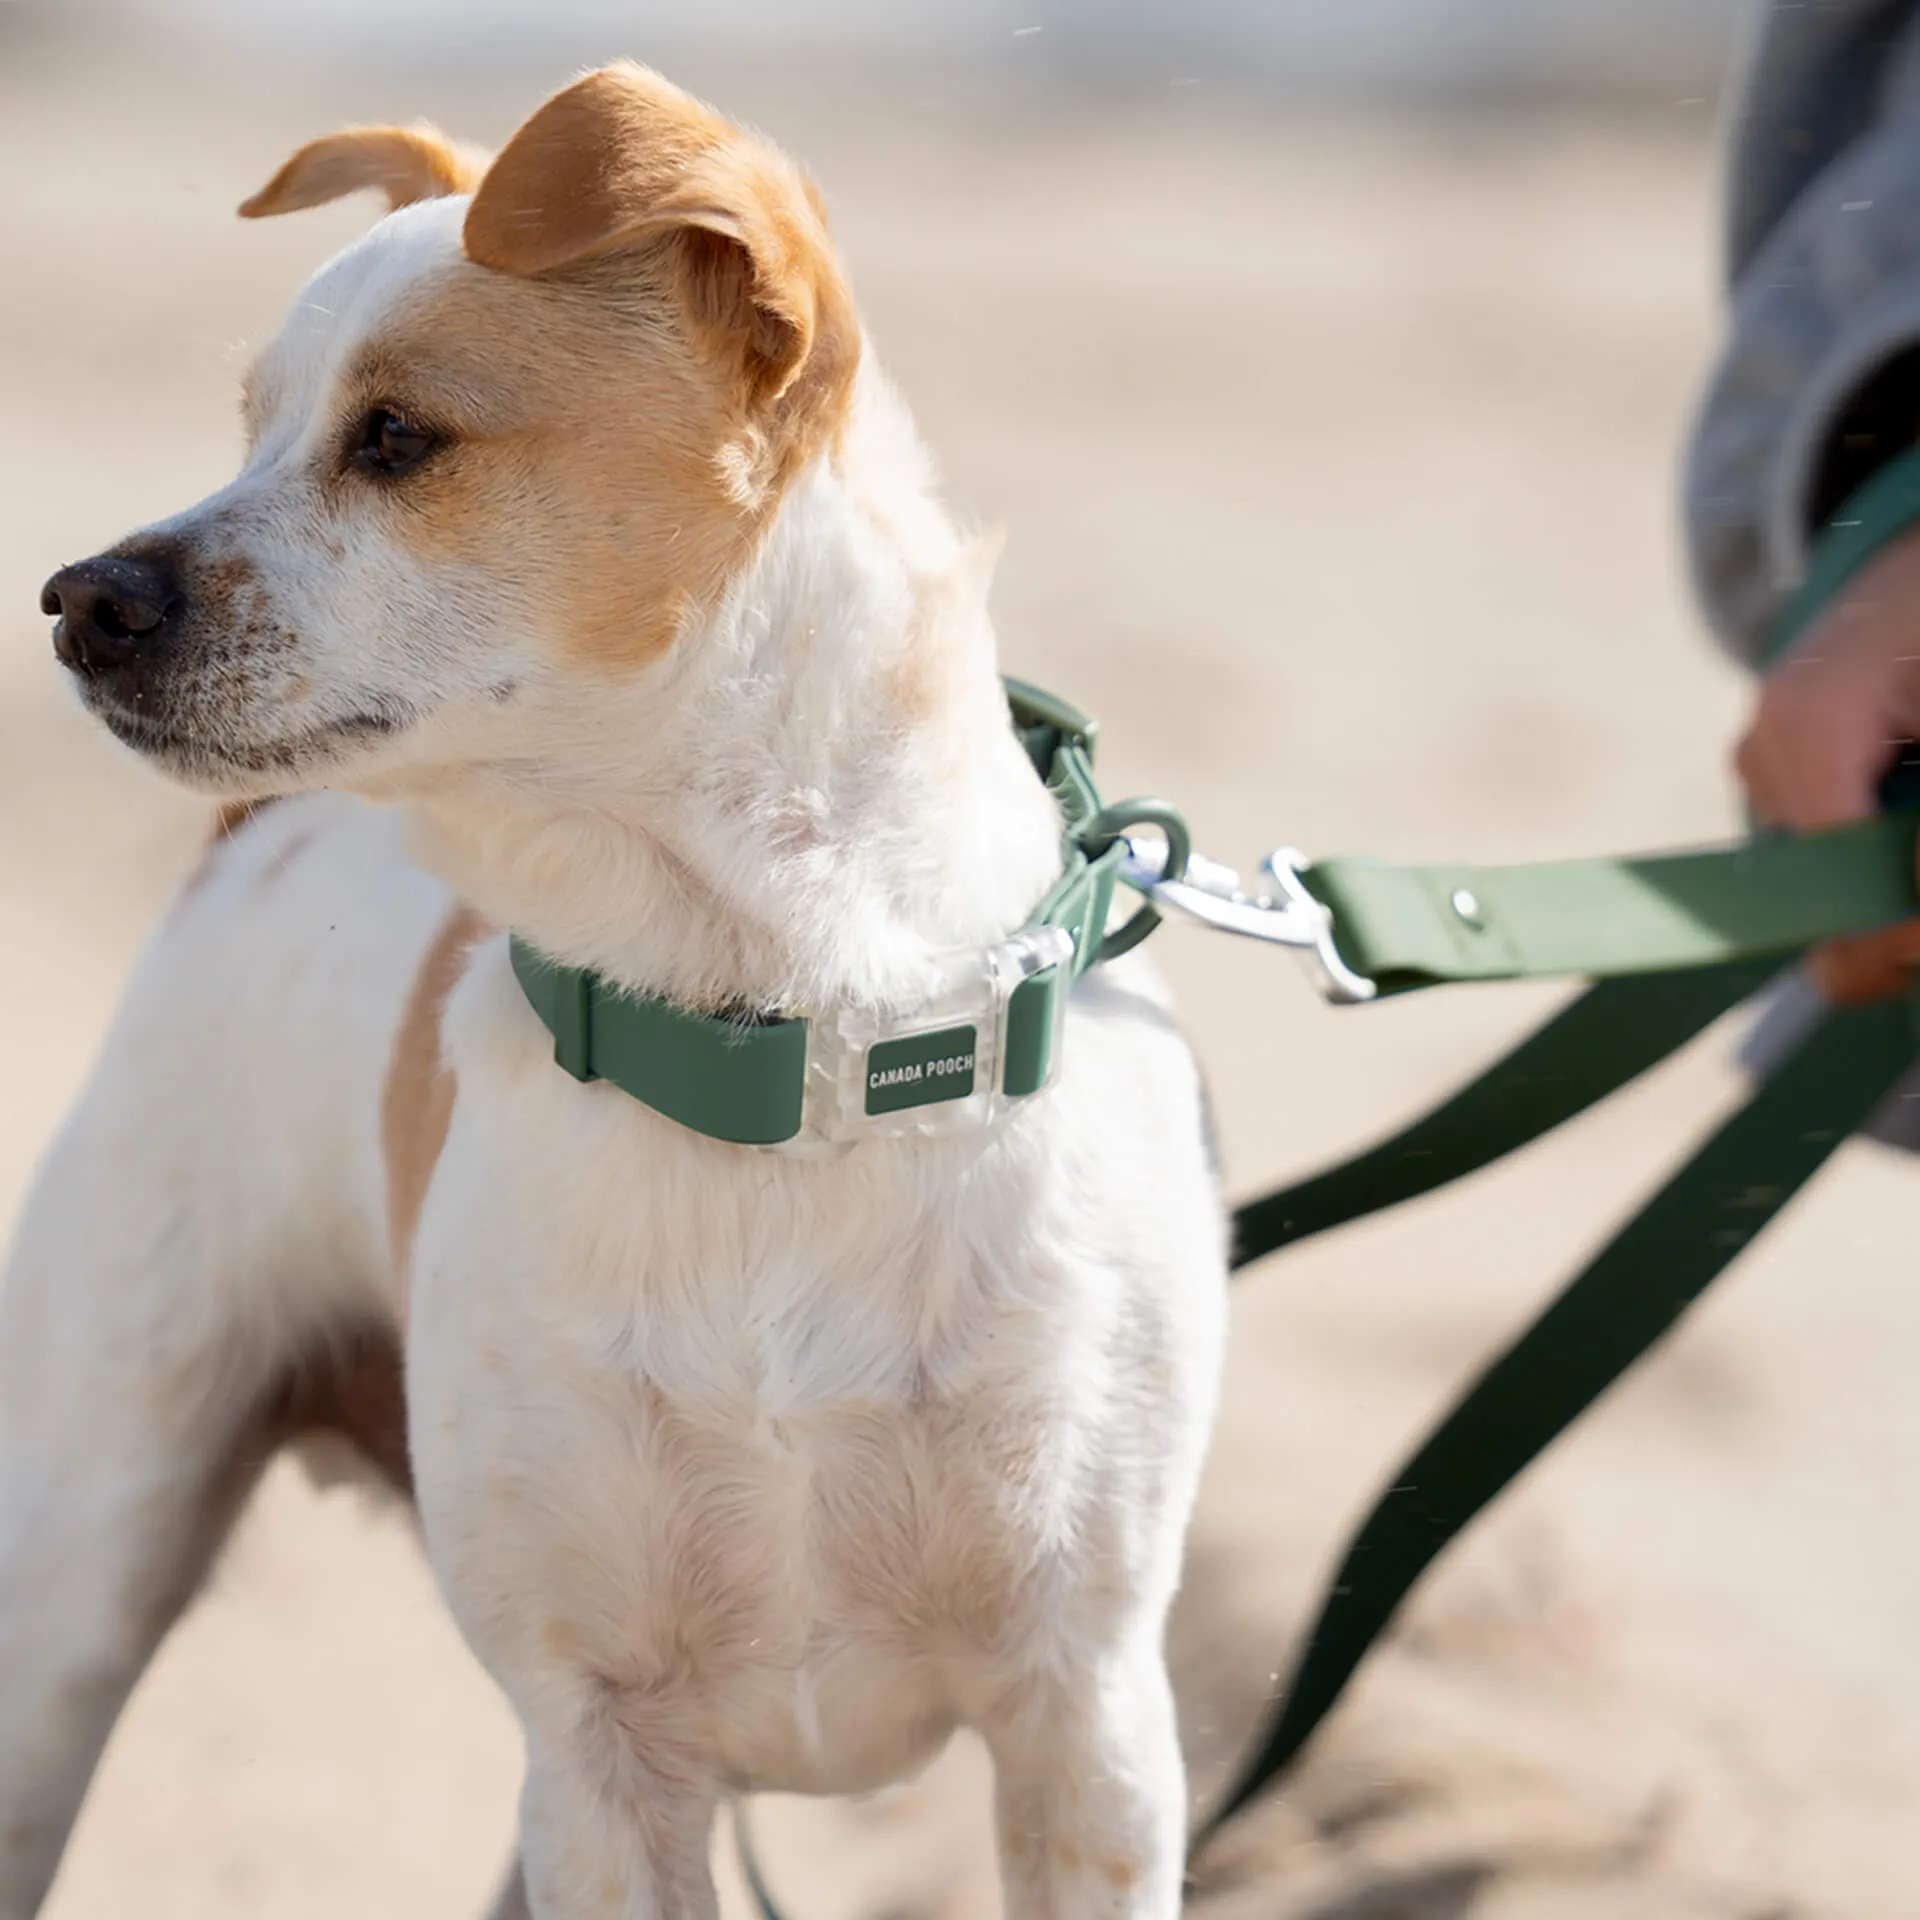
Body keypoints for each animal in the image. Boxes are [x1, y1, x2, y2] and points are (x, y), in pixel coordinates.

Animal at [0, 60, 1221, 1920]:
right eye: (252, 426)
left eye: (396, 439)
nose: (79, 598)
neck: (773, 1042)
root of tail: (252, 844)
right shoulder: (595, 1746)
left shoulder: (1088, 1726)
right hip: (78, 1583)